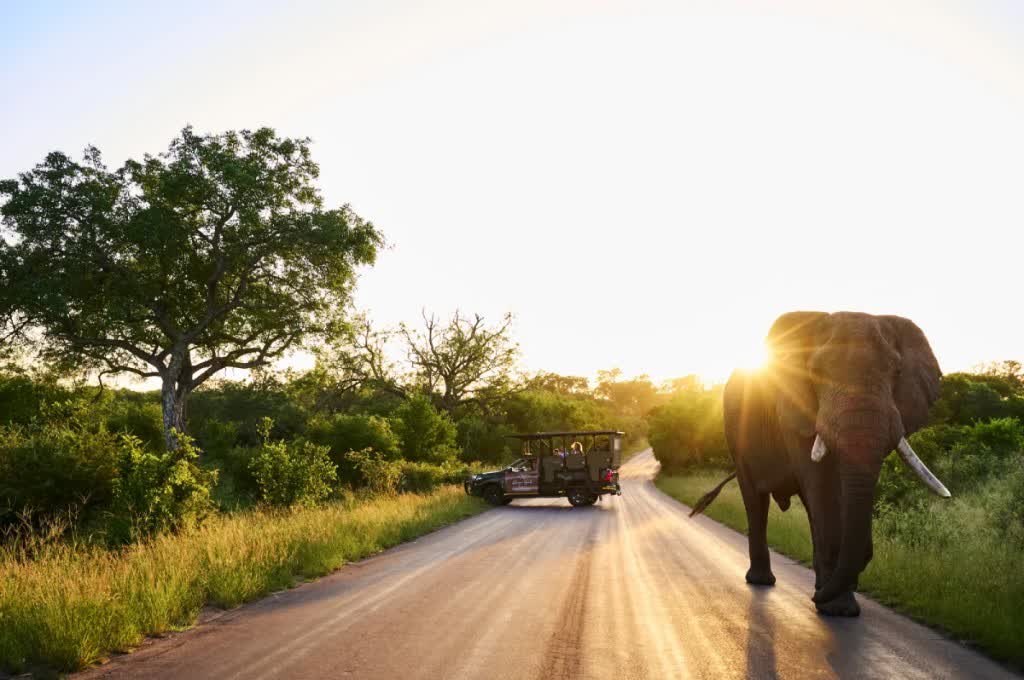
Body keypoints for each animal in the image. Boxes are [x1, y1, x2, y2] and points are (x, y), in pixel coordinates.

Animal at [692, 312, 951, 616]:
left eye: (897, 372)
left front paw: (837, 601)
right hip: (736, 436)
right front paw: (837, 608)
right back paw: (763, 582)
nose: (815, 598)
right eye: (816, 372)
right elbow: (821, 482)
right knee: (756, 501)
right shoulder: (794, 410)